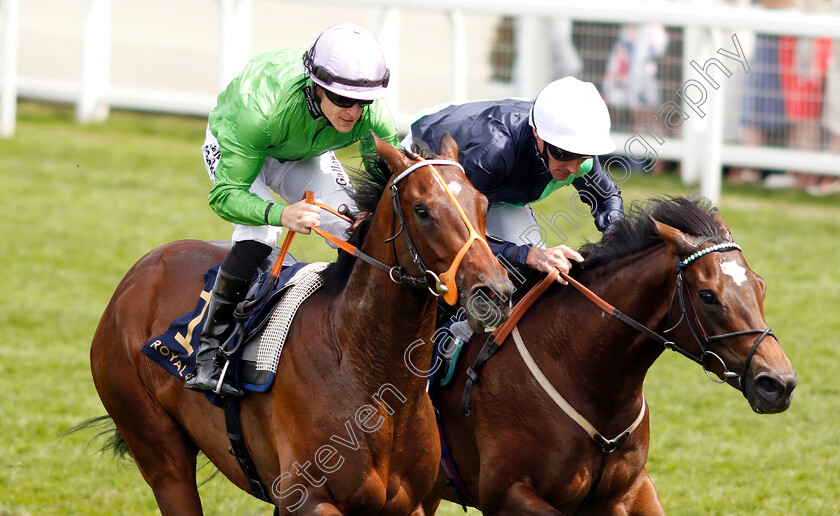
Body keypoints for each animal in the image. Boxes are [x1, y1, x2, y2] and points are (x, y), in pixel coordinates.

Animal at [88, 134, 516, 516]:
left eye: (482, 203)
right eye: (423, 210)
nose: (495, 291)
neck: (369, 373)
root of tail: (141, 271)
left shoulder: (411, 506)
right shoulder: (311, 500)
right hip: (159, 451)